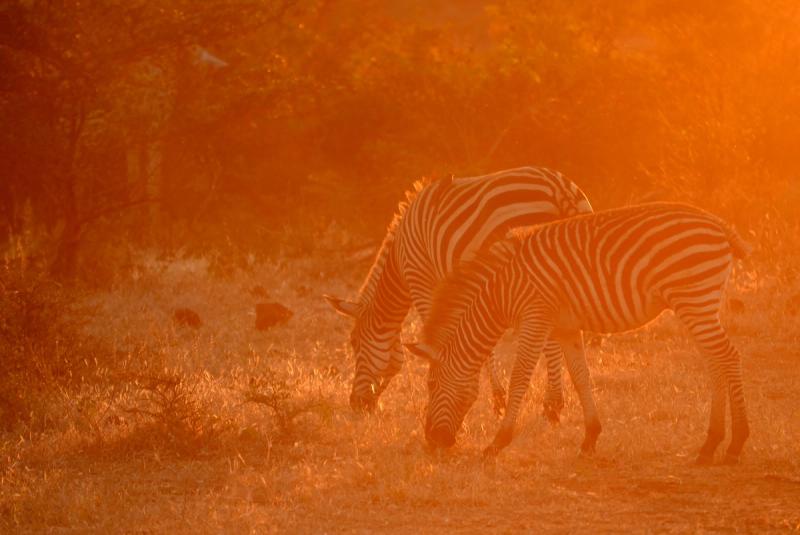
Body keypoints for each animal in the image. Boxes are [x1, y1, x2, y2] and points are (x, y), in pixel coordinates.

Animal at [324, 167, 593, 418]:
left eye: (354, 343)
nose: (356, 405)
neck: (399, 261)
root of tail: (558, 188)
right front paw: (496, 398)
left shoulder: (422, 280)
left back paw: (552, 405)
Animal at [406, 202, 751, 465]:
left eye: (431, 383)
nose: (431, 442)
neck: (502, 292)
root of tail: (720, 224)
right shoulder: (565, 326)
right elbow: (580, 376)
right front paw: (590, 437)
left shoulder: (535, 317)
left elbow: (520, 378)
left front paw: (498, 442)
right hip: (700, 303)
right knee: (714, 360)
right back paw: (711, 444)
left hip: (694, 299)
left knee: (729, 356)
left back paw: (735, 444)